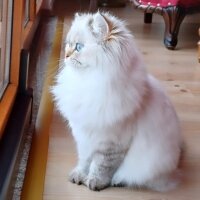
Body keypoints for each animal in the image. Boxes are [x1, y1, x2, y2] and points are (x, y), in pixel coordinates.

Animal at [50, 11, 182, 192]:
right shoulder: (84, 138)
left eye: (78, 47)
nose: (66, 55)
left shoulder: (111, 144)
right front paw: (78, 176)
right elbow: (84, 161)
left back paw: (118, 181)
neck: (88, 82)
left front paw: (94, 182)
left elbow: (100, 166)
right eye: (68, 45)